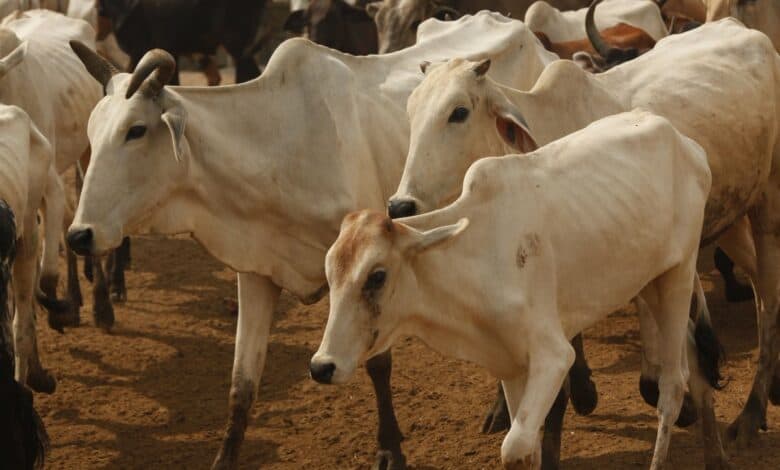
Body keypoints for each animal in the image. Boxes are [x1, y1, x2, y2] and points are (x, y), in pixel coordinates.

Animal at [67, 11, 559, 469]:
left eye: (135, 130)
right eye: (90, 132)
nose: (78, 234)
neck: (277, 150)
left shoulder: (375, 264)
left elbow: (377, 363)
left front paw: (390, 449)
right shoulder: (256, 272)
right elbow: (242, 385)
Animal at [312, 109, 712, 470]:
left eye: (376, 276)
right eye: (330, 275)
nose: (321, 366)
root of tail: (687, 143)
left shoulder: (553, 356)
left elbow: (515, 447)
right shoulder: (509, 364)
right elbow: (528, 453)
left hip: (679, 275)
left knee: (672, 387)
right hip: (648, 281)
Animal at [389, 18, 780, 452]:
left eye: (458, 112)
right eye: (411, 110)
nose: (401, 205)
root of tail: (740, 26)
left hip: (767, 202)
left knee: (768, 300)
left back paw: (752, 412)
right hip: (731, 217)